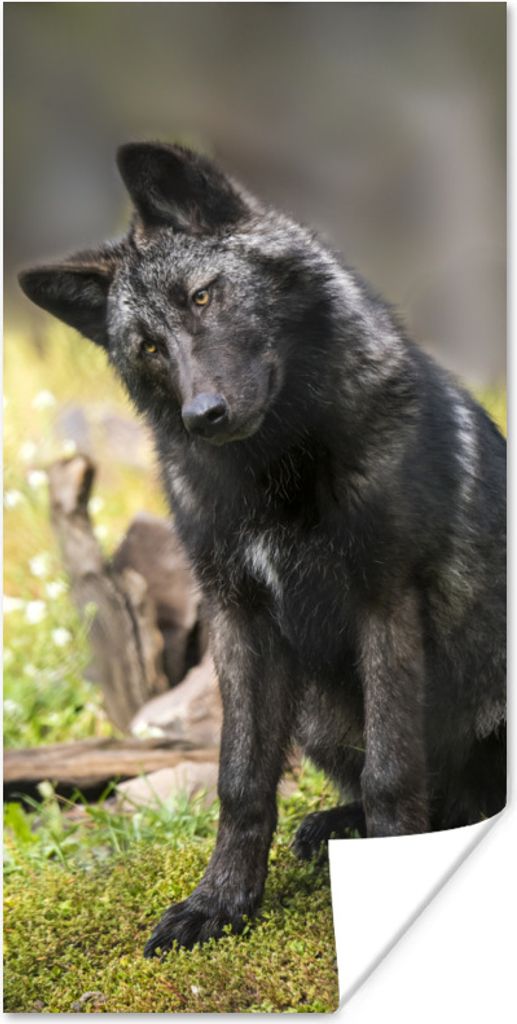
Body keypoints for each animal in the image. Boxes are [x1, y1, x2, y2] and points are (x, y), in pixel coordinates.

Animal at [19, 142, 506, 955]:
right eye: (148, 346)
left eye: (202, 296)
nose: (203, 414)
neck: (274, 477)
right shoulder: (237, 615)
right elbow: (240, 781)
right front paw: (220, 902)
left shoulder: (385, 601)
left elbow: (392, 772)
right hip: (315, 715)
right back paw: (334, 828)